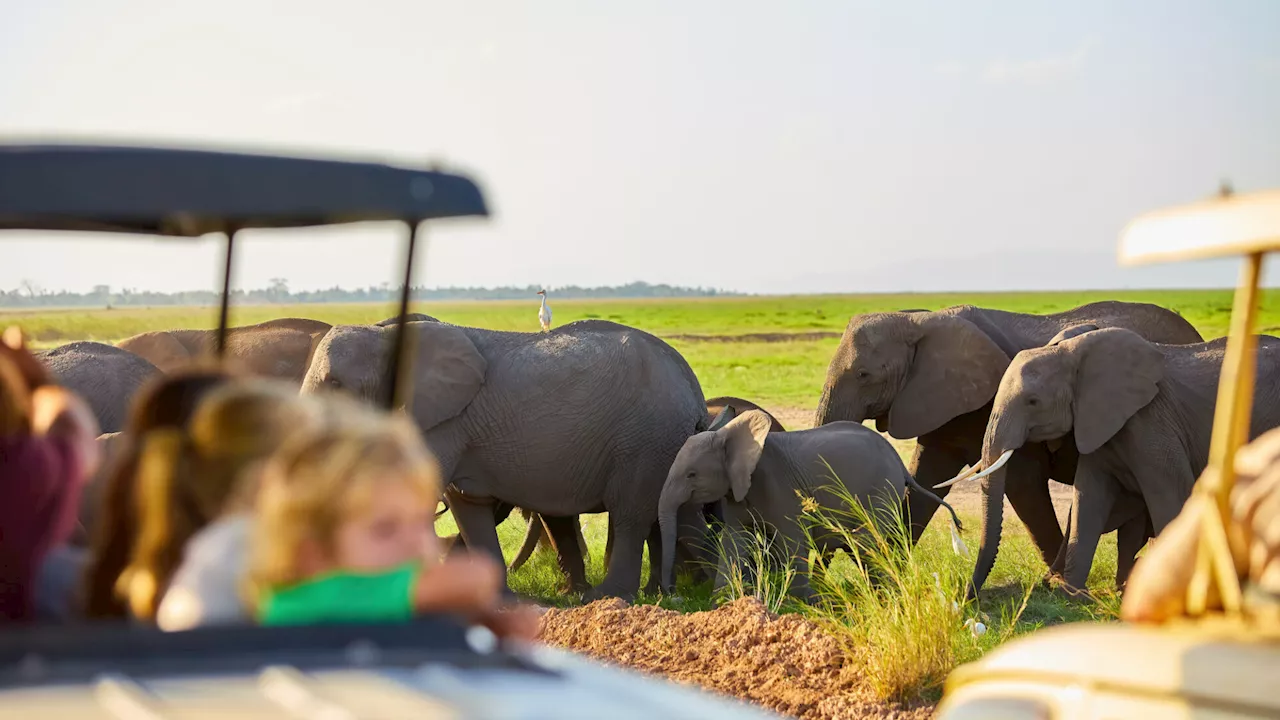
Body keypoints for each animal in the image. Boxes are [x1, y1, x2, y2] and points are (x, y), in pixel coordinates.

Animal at [308, 317, 711, 594]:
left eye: (335, 384)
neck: (384, 334)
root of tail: (692, 385)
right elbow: (467, 506)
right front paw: (496, 600)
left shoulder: (441, 423)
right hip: (667, 442)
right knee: (680, 514)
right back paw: (701, 592)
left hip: (645, 438)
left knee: (631, 513)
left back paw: (608, 598)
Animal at [665, 404, 957, 599]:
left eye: (692, 475)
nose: (672, 594)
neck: (732, 437)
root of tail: (900, 464)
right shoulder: (737, 489)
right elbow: (734, 539)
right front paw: (723, 602)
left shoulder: (779, 487)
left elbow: (793, 540)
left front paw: (803, 603)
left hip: (882, 490)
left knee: (867, 543)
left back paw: (883, 596)